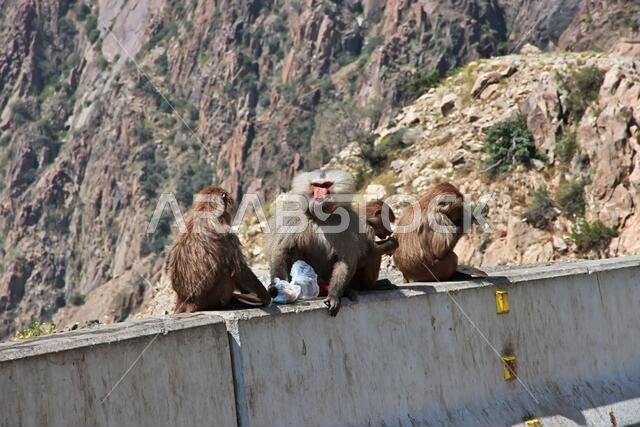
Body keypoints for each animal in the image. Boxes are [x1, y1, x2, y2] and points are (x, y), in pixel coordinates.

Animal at [268, 169, 374, 316]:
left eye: (326, 185)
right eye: (316, 185)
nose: (320, 195)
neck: (321, 217)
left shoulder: (348, 223)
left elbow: (345, 260)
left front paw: (334, 295)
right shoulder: (292, 215)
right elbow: (281, 250)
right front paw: (278, 289)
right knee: (295, 247)